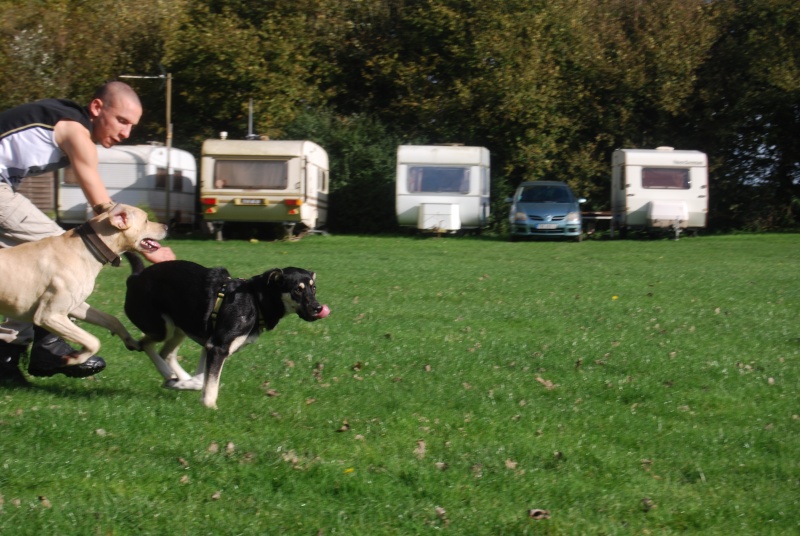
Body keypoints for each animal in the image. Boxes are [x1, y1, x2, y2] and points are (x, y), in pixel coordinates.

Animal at [122, 253, 328, 408]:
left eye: (313, 288)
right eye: (297, 290)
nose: (318, 308)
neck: (255, 301)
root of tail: (135, 277)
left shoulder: (209, 345)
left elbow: (201, 380)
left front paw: (182, 384)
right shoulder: (218, 346)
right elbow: (210, 386)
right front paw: (209, 406)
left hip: (179, 327)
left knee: (166, 352)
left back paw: (174, 377)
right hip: (162, 327)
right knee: (144, 343)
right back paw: (167, 372)